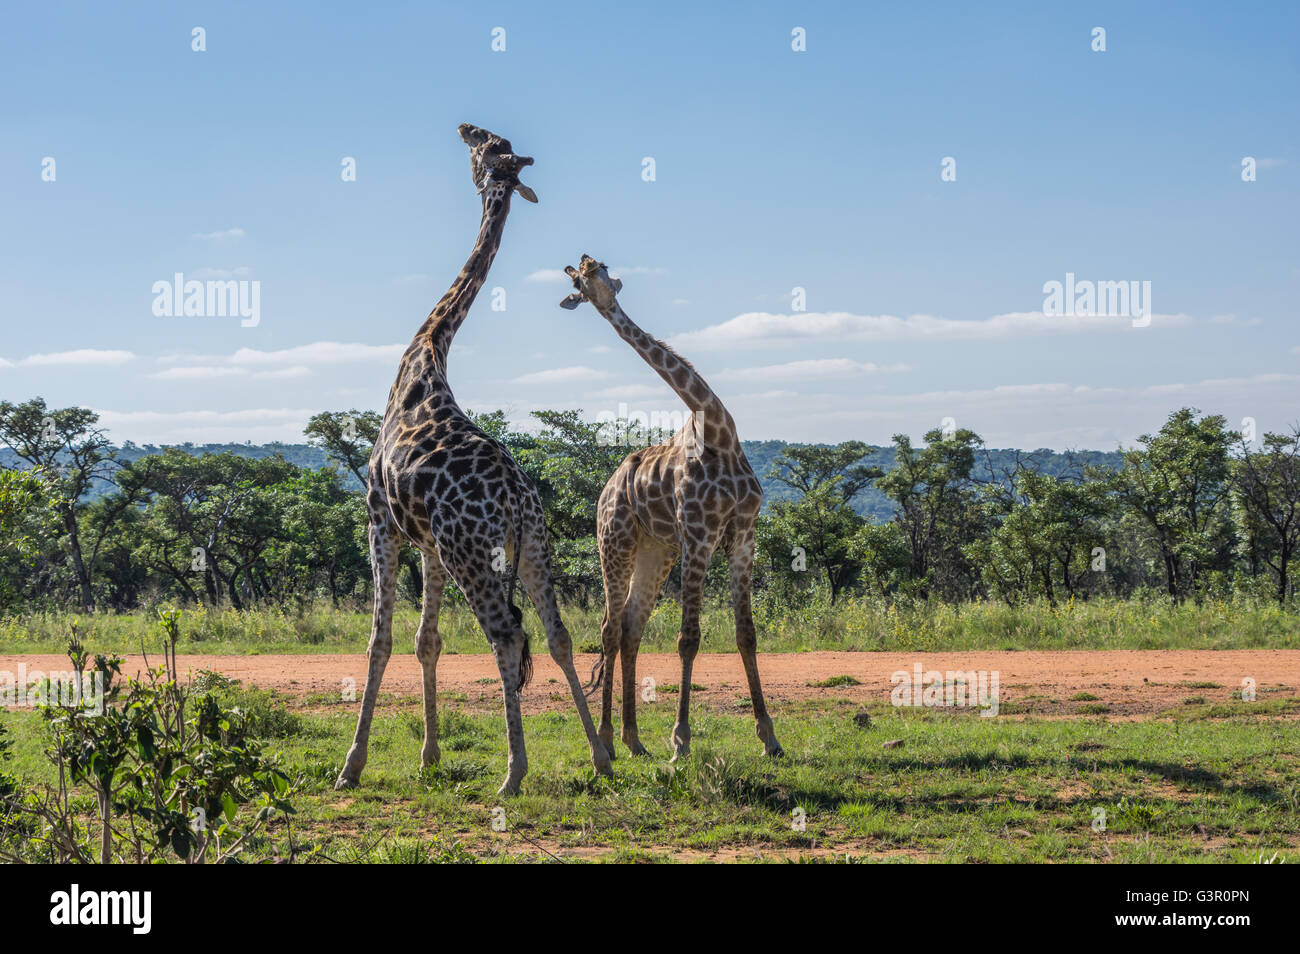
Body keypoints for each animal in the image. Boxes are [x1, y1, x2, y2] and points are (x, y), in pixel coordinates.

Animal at [340, 127, 613, 800]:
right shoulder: (430, 544)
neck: (426, 355)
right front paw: (428, 757)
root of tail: (513, 501)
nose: (464, 129)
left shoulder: (381, 522)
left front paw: (352, 764)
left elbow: (381, 640)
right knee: (559, 635)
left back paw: (513, 773)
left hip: (474, 553)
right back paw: (600, 757)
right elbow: (427, 641)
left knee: (506, 635)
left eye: (485, 147)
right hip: (532, 545)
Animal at [559, 252, 780, 764]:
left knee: (630, 627)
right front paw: (681, 741)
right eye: (581, 284)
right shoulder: (699, 535)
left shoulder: (743, 537)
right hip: (614, 542)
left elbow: (746, 634)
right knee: (608, 628)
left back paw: (633, 739)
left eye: (600, 270)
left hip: (656, 551)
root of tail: (605, 490)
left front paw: (769, 737)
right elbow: (688, 639)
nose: (583, 263)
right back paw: (607, 739)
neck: (717, 429)